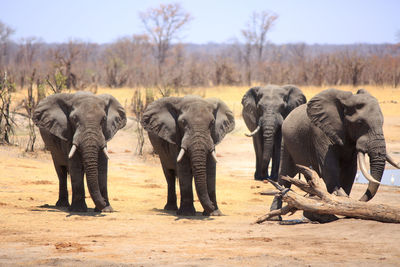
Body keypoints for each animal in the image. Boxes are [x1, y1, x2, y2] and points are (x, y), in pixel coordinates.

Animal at [268, 89, 400, 220]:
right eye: (360, 123)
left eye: (382, 123)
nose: (358, 200)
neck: (346, 101)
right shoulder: (320, 132)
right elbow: (329, 168)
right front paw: (333, 209)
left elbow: (350, 171)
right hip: (286, 142)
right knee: (285, 174)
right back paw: (276, 217)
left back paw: (310, 216)